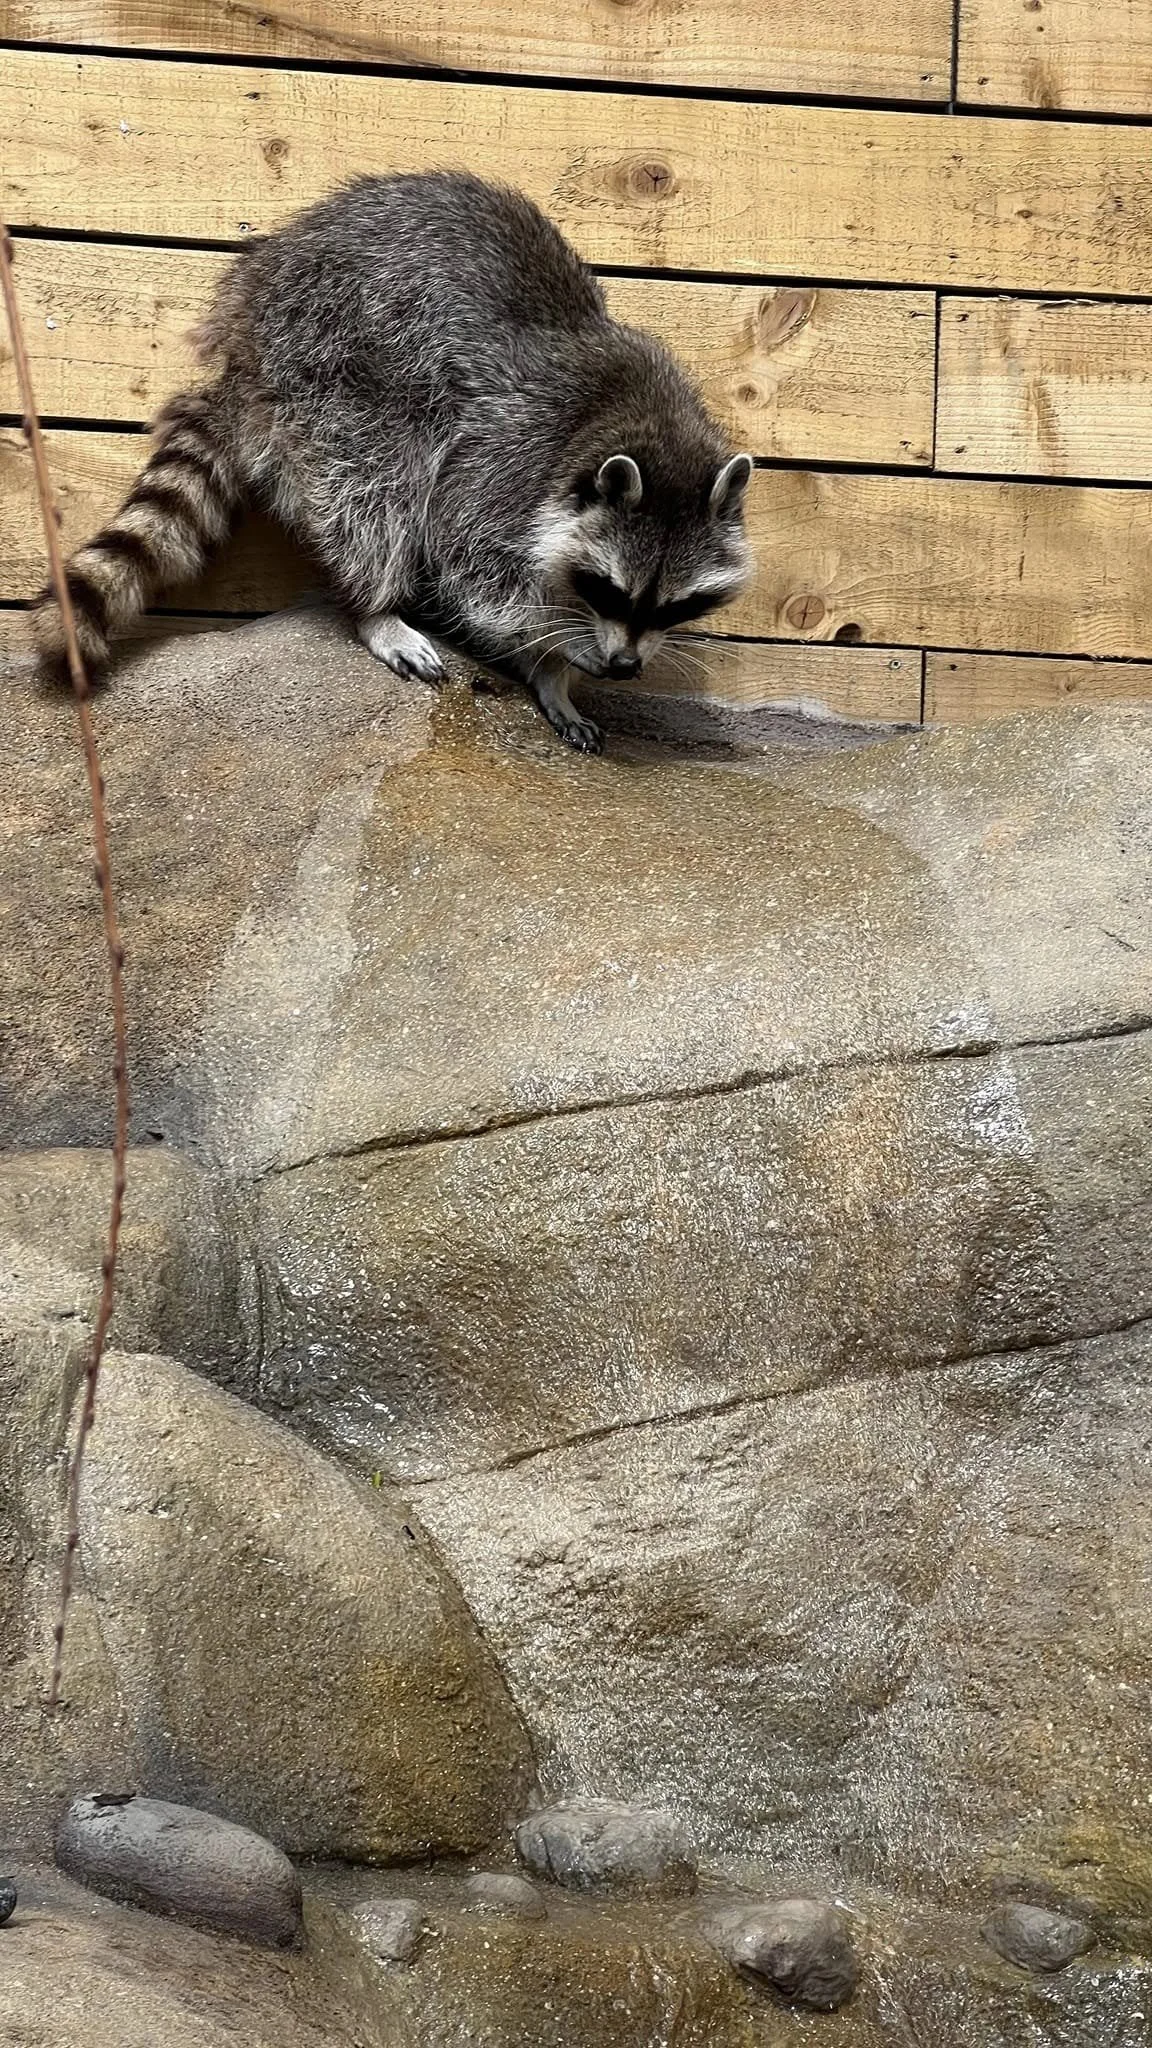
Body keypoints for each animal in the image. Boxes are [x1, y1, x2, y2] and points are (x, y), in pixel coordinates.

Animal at [34, 171, 754, 752]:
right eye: (611, 588)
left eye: (677, 605)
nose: (626, 665)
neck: (643, 419)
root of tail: (245, 328)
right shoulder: (514, 445)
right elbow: (471, 561)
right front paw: (555, 649)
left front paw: (562, 671)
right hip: (337, 353)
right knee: (380, 477)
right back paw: (374, 604)